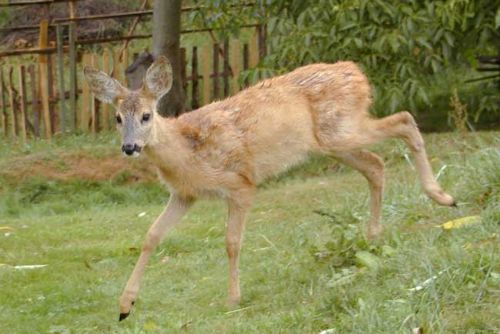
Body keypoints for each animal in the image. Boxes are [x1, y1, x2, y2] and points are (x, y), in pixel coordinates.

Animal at [84, 56, 456, 320]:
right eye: (118, 118)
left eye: (146, 116)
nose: (129, 147)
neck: (186, 151)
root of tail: (355, 72)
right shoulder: (184, 195)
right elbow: (151, 235)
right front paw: (125, 305)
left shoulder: (239, 184)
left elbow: (231, 242)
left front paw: (233, 298)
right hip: (334, 142)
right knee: (376, 165)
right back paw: (375, 235)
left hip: (340, 130)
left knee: (404, 120)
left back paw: (442, 196)